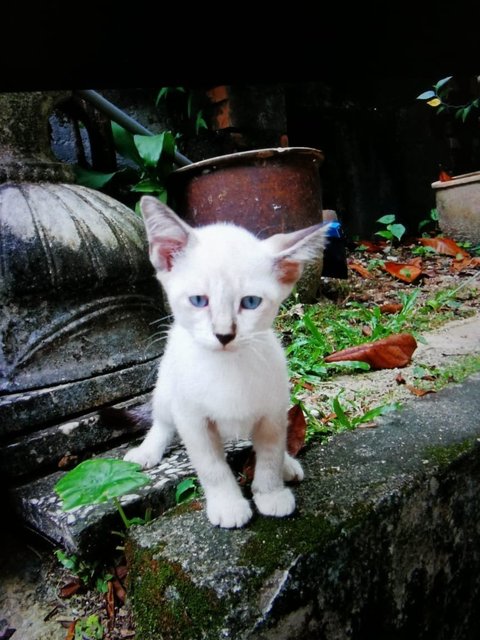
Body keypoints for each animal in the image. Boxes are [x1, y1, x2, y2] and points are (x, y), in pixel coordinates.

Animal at [124, 195, 328, 524]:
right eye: (198, 300)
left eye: (251, 302)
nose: (223, 335)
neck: (228, 369)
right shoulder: (193, 420)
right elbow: (212, 468)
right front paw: (228, 505)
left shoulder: (272, 412)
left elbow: (269, 456)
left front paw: (270, 493)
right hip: (167, 389)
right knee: (162, 421)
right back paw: (148, 450)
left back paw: (288, 464)